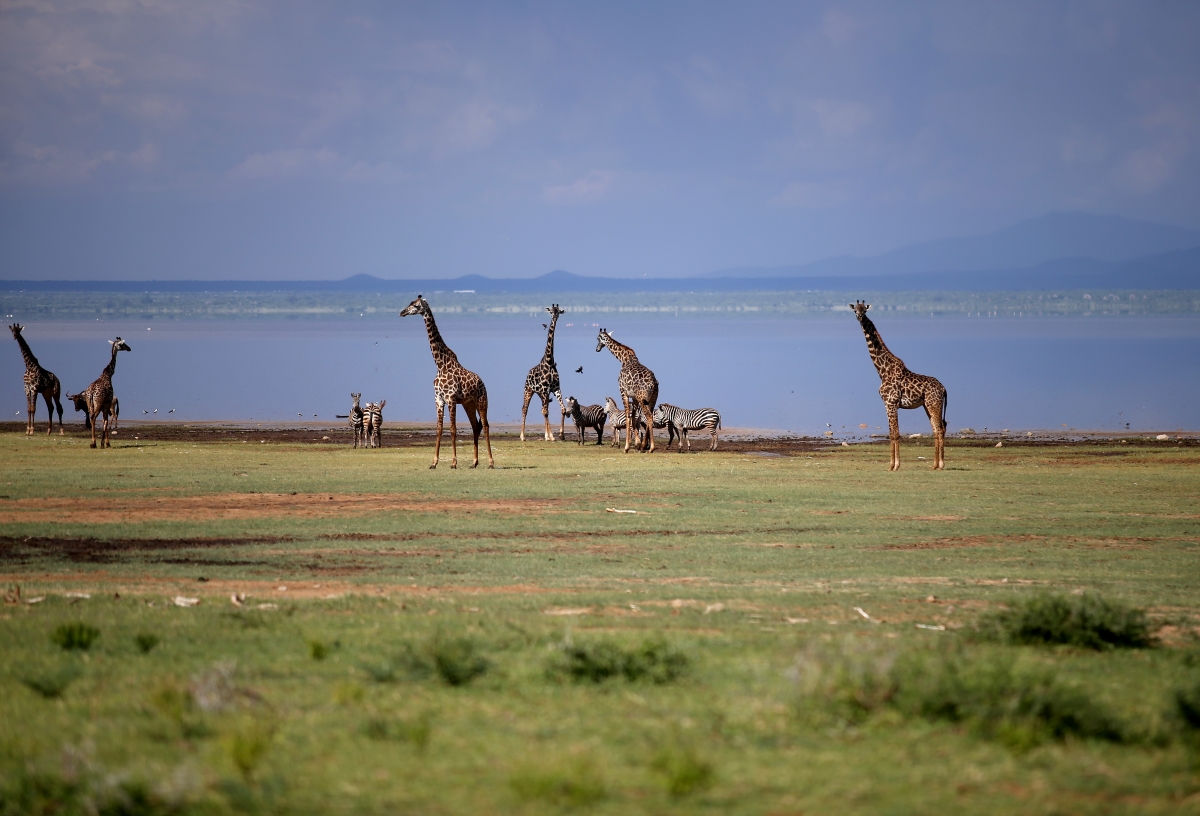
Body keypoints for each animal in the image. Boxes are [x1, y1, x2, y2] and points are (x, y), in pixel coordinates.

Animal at [398, 296, 492, 468]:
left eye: (416, 305)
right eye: (410, 303)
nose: (402, 312)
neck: (440, 364)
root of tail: (482, 382)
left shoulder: (451, 399)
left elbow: (453, 429)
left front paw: (454, 462)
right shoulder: (439, 400)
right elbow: (439, 429)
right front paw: (434, 463)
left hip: (482, 401)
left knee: (486, 426)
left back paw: (491, 462)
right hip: (468, 404)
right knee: (476, 426)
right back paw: (474, 462)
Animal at [518, 304, 568, 444]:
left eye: (559, 311)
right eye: (551, 311)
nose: (555, 316)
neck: (549, 361)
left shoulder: (555, 388)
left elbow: (563, 409)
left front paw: (561, 434)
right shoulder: (546, 389)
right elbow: (546, 412)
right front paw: (552, 436)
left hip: (541, 394)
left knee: (543, 409)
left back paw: (545, 436)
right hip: (528, 390)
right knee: (525, 409)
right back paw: (522, 436)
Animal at [844, 302, 945, 472]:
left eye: (864, 310)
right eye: (855, 309)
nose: (860, 317)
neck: (882, 370)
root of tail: (944, 389)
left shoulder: (890, 403)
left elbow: (894, 434)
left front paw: (894, 465)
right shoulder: (889, 404)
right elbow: (893, 433)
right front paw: (894, 464)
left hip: (933, 405)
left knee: (939, 429)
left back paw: (941, 465)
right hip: (927, 405)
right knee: (938, 429)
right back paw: (935, 465)